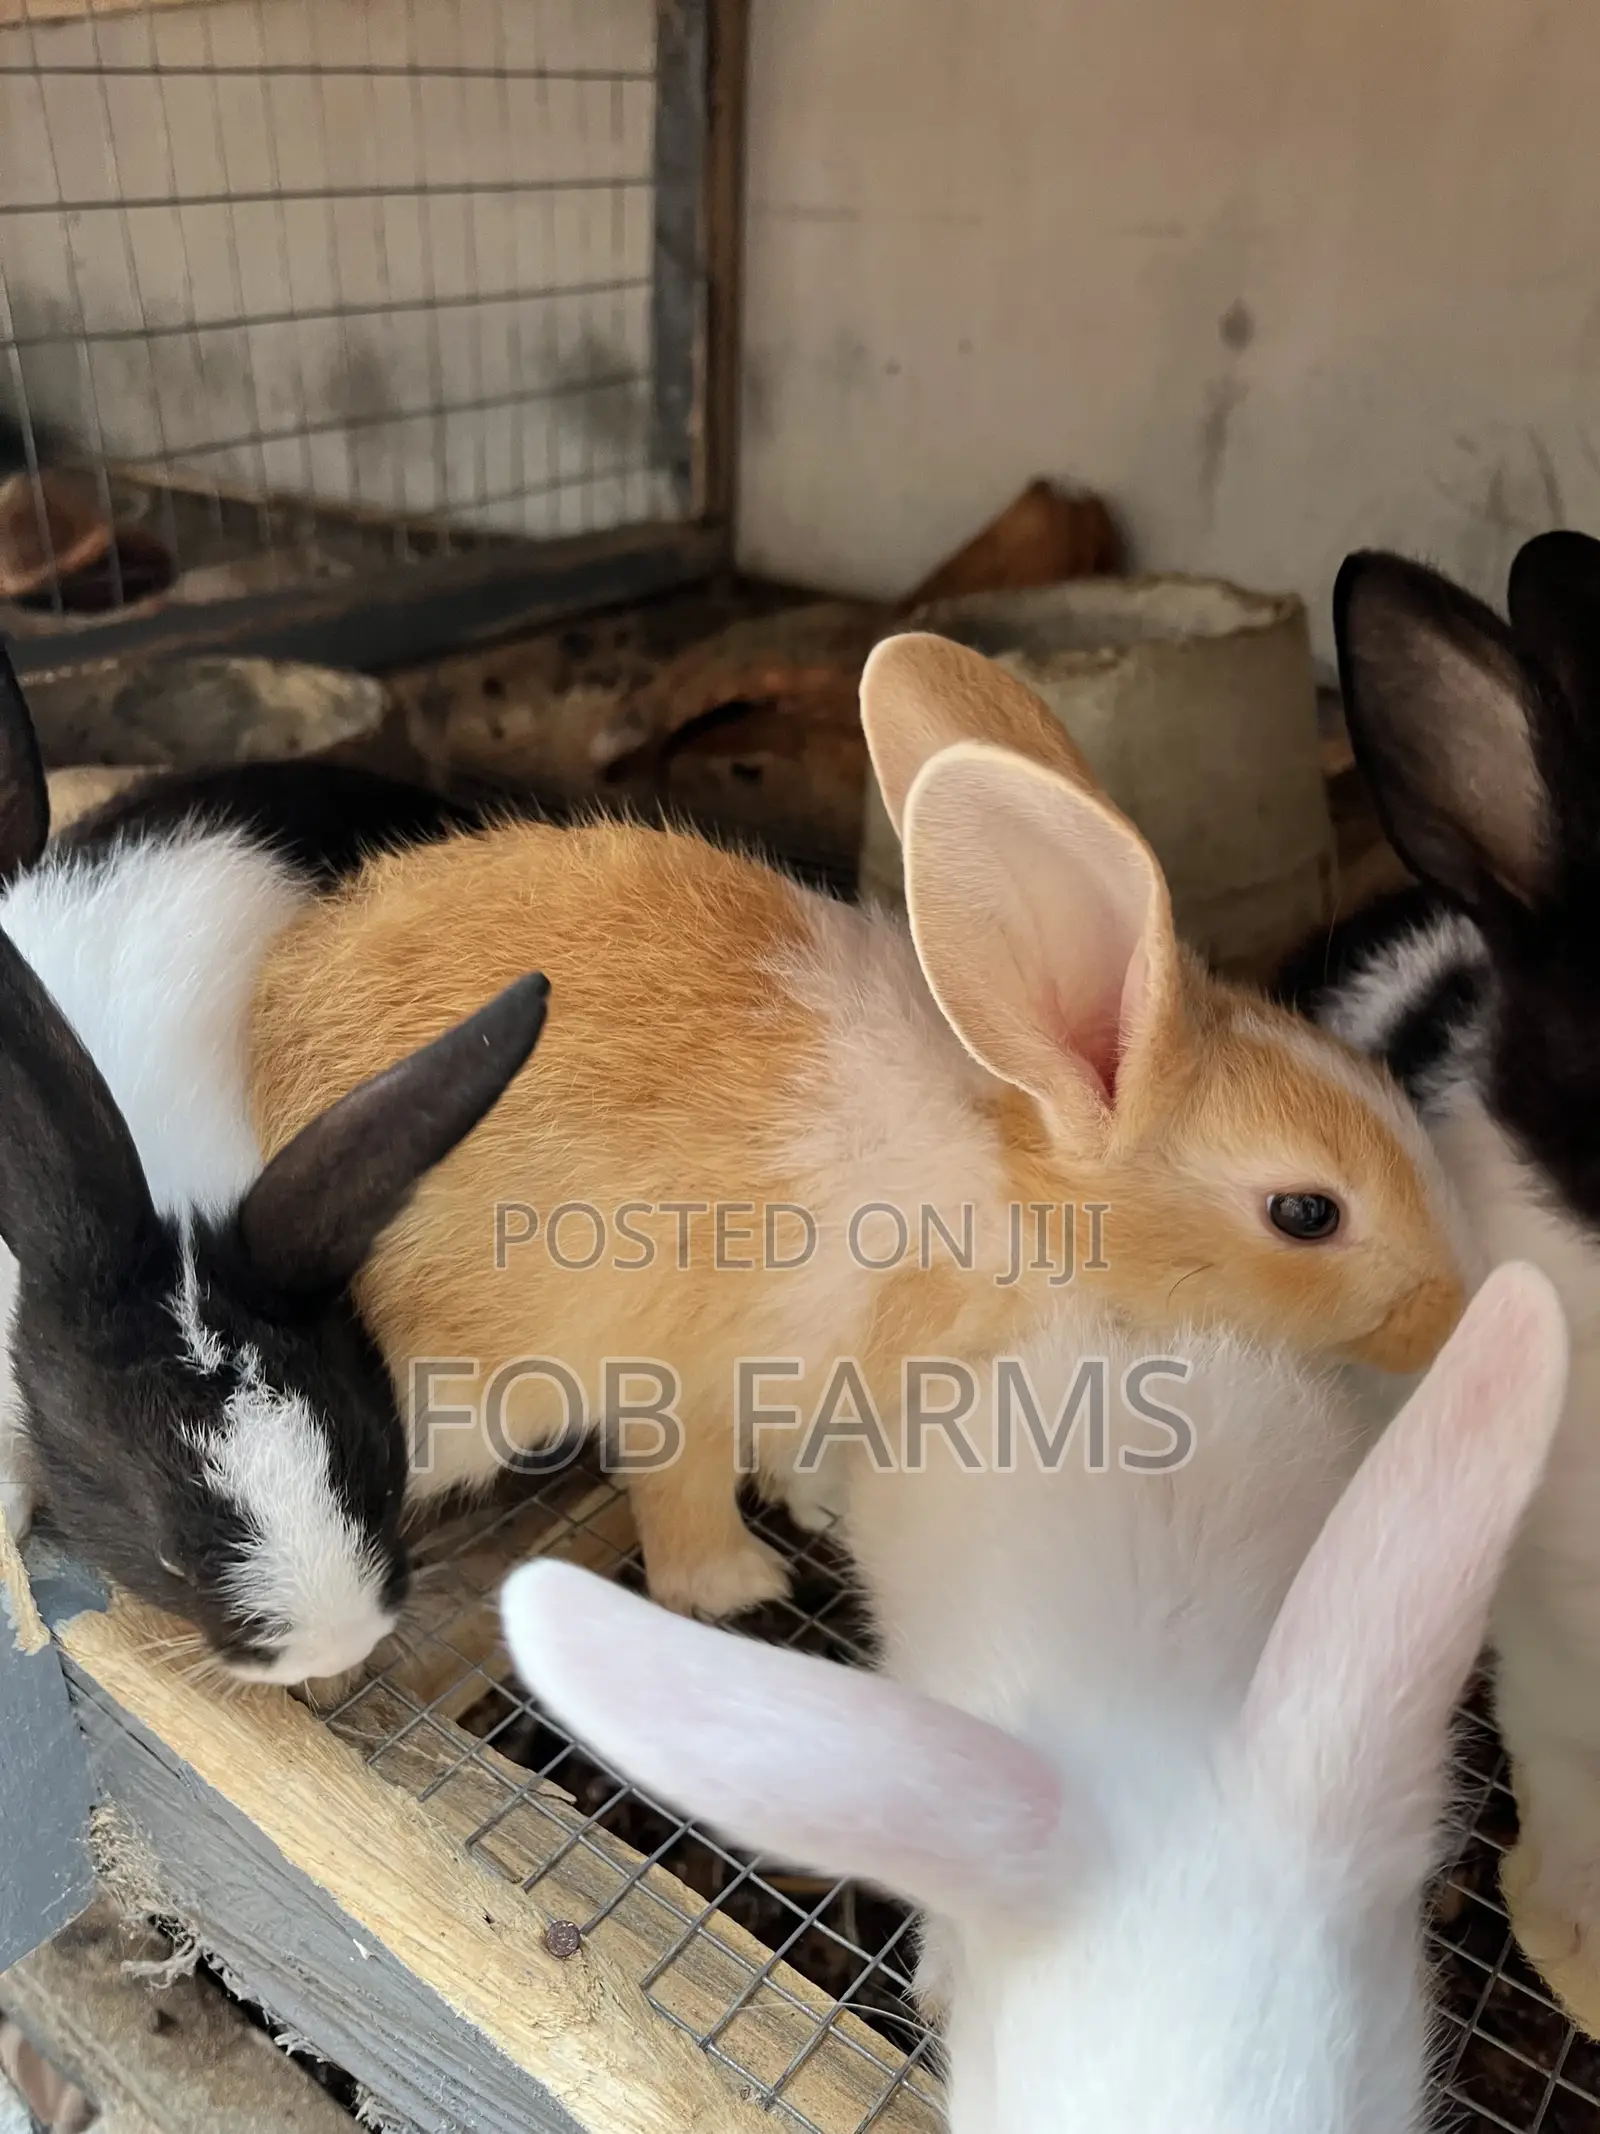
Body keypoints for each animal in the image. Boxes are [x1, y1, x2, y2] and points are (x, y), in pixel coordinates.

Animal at [249, 631, 1467, 1623]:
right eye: (1305, 1212)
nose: (1447, 1317)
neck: (1017, 1184)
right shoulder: (698, 1365)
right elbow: (683, 1493)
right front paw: (738, 1586)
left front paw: (818, 1506)